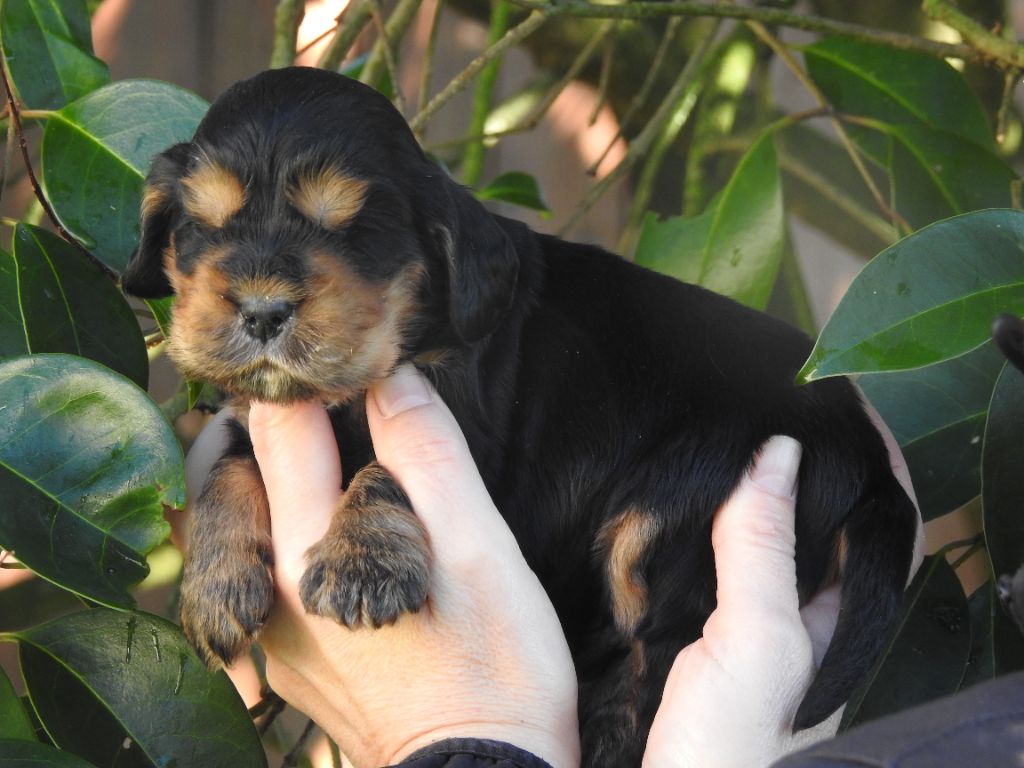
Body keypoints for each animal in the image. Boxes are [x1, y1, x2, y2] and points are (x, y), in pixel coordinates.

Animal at [123, 67, 917, 768]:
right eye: (202, 228)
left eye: (352, 231)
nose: (261, 311)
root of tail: (865, 446)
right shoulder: (256, 406)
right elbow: (233, 461)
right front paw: (213, 586)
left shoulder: (475, 437)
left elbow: (386, 464)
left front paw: (363, 562)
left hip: (680, 505)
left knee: (657, 655)